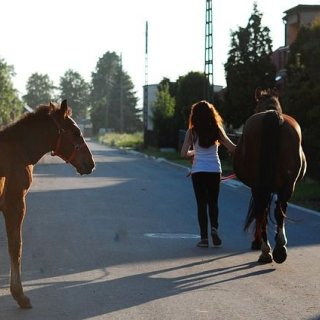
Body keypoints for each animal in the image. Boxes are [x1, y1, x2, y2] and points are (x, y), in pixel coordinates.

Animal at [0, 100, 95, 308]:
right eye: (76, 132)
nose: (91, 164)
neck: (19, 149)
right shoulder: (15, 203)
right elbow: (15, 247)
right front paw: (20, 295)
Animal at [234, 89, 306, 264]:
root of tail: (273, 115)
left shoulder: (257, 188)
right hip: (287, 186)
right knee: (279, 210)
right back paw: (279, 248)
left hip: (260, 187)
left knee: (263, 212)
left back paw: (266, 250)